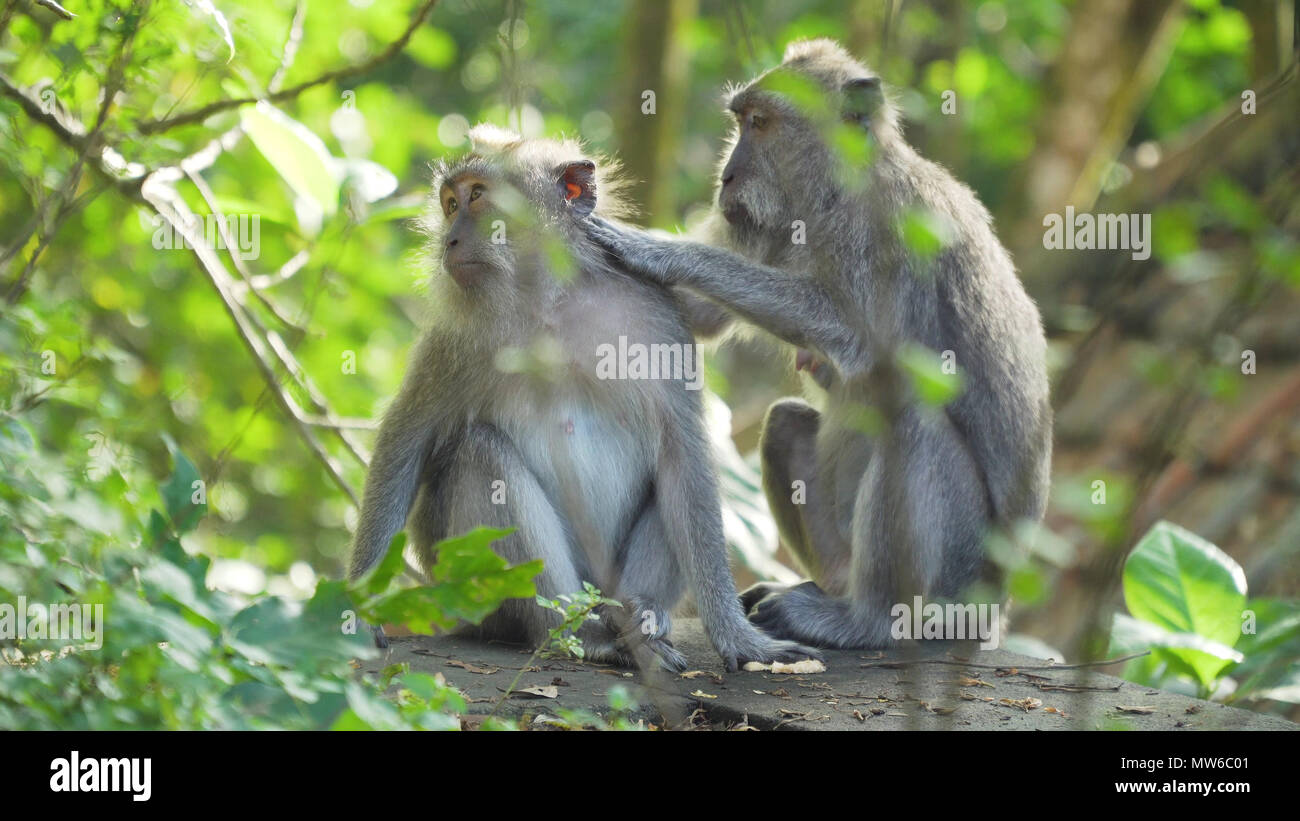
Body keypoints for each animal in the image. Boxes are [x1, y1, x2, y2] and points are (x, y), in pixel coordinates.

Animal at [346, 124, 820, 672]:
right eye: (449, 204)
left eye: (477, 196)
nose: (450, 239)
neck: (552, 299)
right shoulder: (455, 337)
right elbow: (409, 437)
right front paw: (356, 612)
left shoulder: (657, 318)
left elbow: (682, 451)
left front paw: (738, 637)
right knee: (480, 454)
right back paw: (576, 631)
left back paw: (638, 616)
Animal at [583, 39, 1053, 650]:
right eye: (740, 120)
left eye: (760, 123)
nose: (726, 177)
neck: (836, 196)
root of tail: (995, 614)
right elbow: (697, 316)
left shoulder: (896, 232)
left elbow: (853, 338)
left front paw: (656, 250)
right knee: (785, 421)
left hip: (958, 590)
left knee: (913, 427)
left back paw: (868, 620)